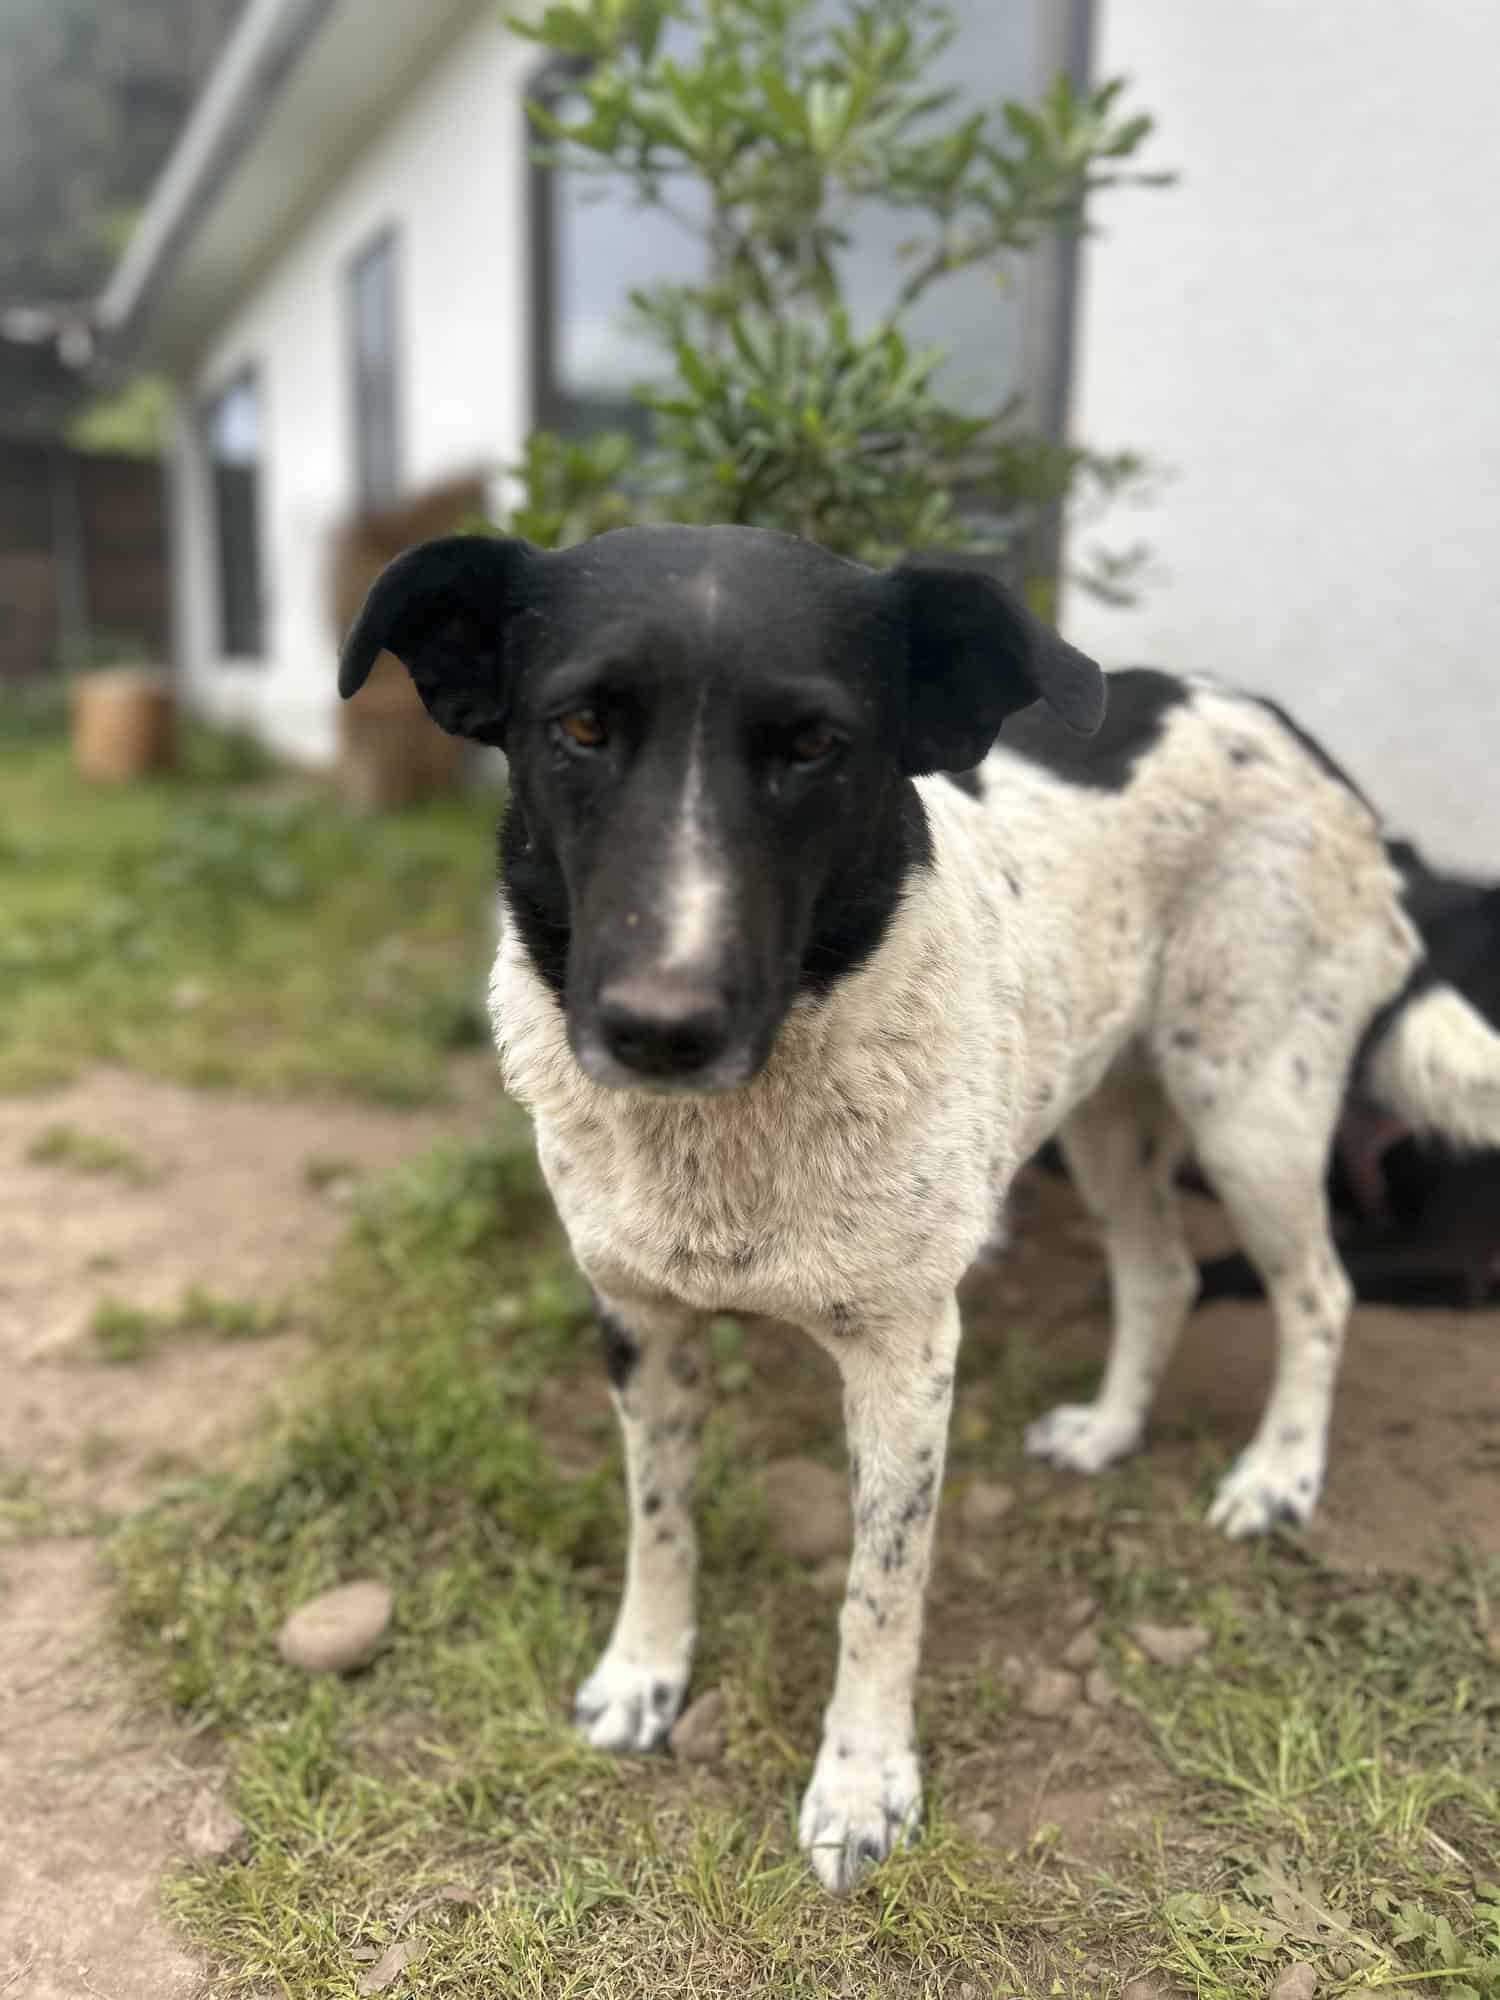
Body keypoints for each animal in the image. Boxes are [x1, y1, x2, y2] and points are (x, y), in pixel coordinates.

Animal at [340, 528, 1500, 1888]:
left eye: (813, 745)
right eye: (579, 725)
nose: (658, 1030)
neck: (738, 1121)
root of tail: (1300, 737)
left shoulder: (906, 1351)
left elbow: (880, 1589)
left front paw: (860, 1784)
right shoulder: (639, 1316)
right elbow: (657, 1517)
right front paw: (644, 1673)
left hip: (1249, 1099)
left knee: (1318, 1289)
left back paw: (1277, 1477)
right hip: (1106, 1108)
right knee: (1160, 1271)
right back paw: (1109, 1430)